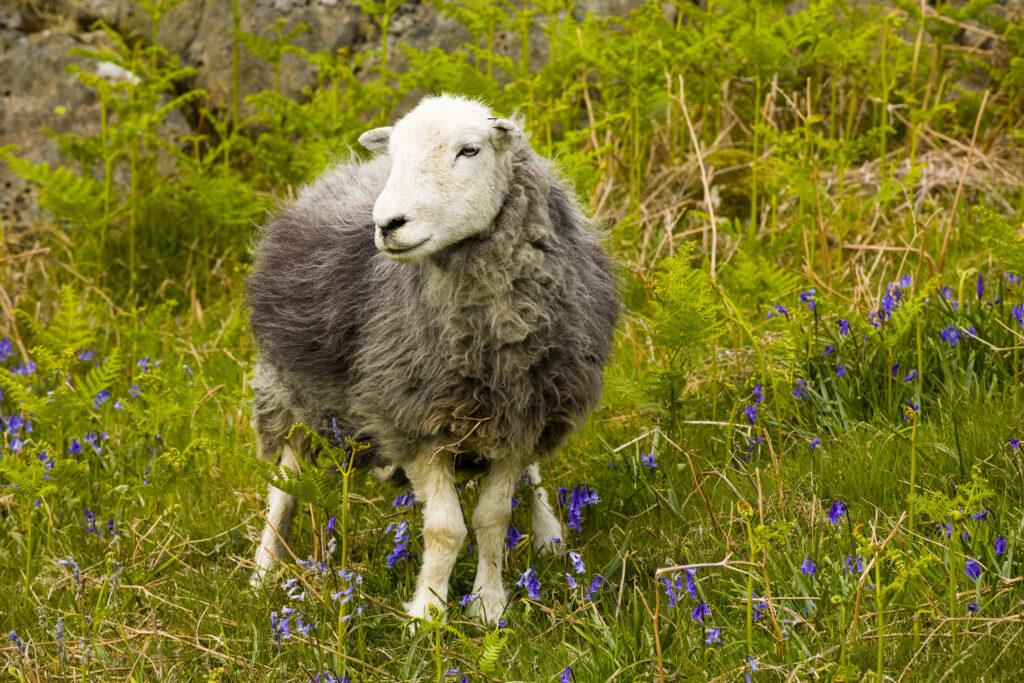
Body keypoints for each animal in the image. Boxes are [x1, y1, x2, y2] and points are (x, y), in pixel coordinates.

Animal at [245, 94, 619, 623]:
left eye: (470, 150)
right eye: (396, 154)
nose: (387, 225)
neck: (489, 342)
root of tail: (345, 170)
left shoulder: (522, 416)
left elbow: (492, 517)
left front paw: (487, 606)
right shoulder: (413, 420)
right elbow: (445, 528)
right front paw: (429, 612)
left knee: (533, 479)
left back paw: (549, 534)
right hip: (288, 389)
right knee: (285, 482)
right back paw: (262, 573)